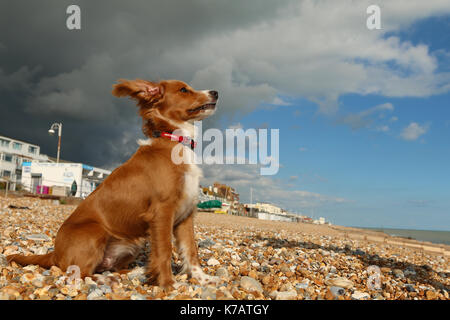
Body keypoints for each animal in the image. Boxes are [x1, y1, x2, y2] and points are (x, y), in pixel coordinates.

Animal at [6, 80, 218, 290]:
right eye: (183, 89)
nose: (215, 92)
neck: (174, 140)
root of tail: (55, 253)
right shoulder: (162, 211)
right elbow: (164, 250)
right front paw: (168, 285)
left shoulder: (186, 215)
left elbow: (191, 250)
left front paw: (203, 279)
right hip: (95, 232)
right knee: (79, 274)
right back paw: (107, 280)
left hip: (132, 244)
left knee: (107, 268)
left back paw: (132, 272)